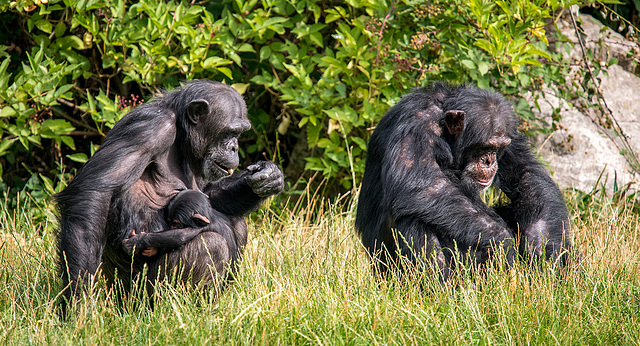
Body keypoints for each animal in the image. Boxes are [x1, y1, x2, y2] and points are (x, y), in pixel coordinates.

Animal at [55, 79, 284, 312]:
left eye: (239, 133)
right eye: (229, 132)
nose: (234, 147)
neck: (181, 135)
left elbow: (207, 195)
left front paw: (268, 177)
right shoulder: (148, 129)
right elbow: (94, 191)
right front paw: (77, 305)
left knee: (237, 222)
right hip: (137, 293)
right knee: (211, 244)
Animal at [358, 82, 572, 278]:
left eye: (498, 148)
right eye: (484, 147)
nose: (489, 160)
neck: (443, 128)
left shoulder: (510, 133)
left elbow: (525, 173)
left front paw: (541, 248)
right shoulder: (416, 126)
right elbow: (419, 184)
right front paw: (502, 241)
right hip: (389, 271)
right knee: (414, 219)